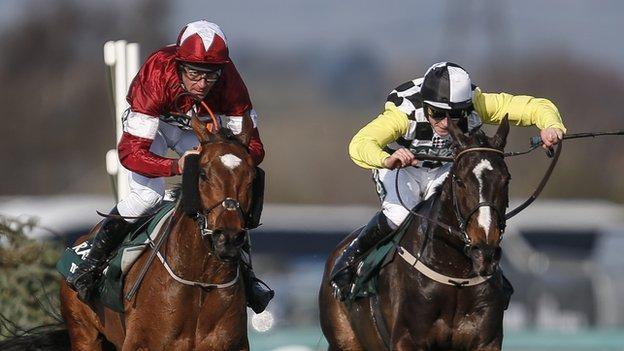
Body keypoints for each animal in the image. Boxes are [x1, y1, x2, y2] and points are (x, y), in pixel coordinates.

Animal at [58, 115, 254, 351]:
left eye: (252, 177)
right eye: (203, 174)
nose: (229, 238)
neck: (200, 279)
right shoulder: (139, 344)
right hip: (83, 333)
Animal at [322, 117, 512, 350]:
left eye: (506, 180)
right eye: (460, 181)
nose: (484, 250)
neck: (454, 275)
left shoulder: (487, 340)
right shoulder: (407, 338)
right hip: (345, 340)